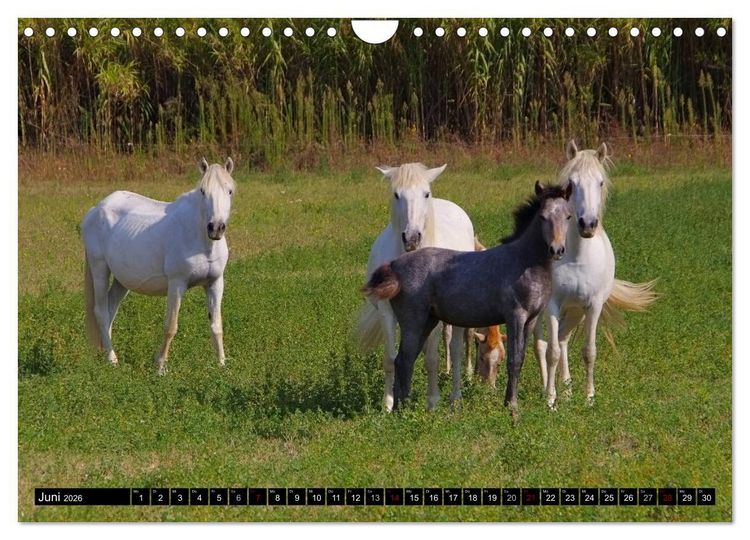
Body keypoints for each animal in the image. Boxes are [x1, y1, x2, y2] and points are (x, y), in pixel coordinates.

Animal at [82, 157, 236, 374]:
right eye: (203, 191)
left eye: (229, 191)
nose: (216, 228)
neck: (201, 239)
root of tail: (94, 210)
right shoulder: (177, 284)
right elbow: (171, 326)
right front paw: (160, 367)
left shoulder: (215, 283)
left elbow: (216, 325)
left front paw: (221, 365)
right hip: (99, 269)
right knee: (102, 312)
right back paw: (112, 359)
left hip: (122, 280)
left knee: (110, 310)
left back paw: (106, 353)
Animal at [356, 163, 475, 411]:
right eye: (396, 194)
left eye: (426, 194)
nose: (412, 238)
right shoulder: (387, 311)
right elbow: (391, 359)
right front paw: (388, 405)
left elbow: (432, 359)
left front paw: (432, 404)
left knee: (457, 350)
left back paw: (455, 398)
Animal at [363, 181, 573, 415]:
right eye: (543, 217)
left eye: (568, 216)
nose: (557, 250)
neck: (524, 262)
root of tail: (394, 265)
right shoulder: (515, 317)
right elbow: (514, 360)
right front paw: (513, 408)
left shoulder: (531, 319)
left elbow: (519, 359)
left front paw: (510, 403)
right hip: (413, 322)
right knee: (404, 359)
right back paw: (403, 410)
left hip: (428, 322)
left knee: (405, 359)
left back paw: (402, 406)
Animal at [534, 141, 658, 408]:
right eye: (572, 183)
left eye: (601, 182)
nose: (587, 224)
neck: (578, 258)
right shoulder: (552, 305)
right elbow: (551, 352)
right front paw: (550, 401)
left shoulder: (593, 305)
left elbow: (589, 351)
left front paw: (589, 398)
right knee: (541, 343)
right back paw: (548, 387)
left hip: (575, 312)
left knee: (563, 338)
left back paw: (567, 389)